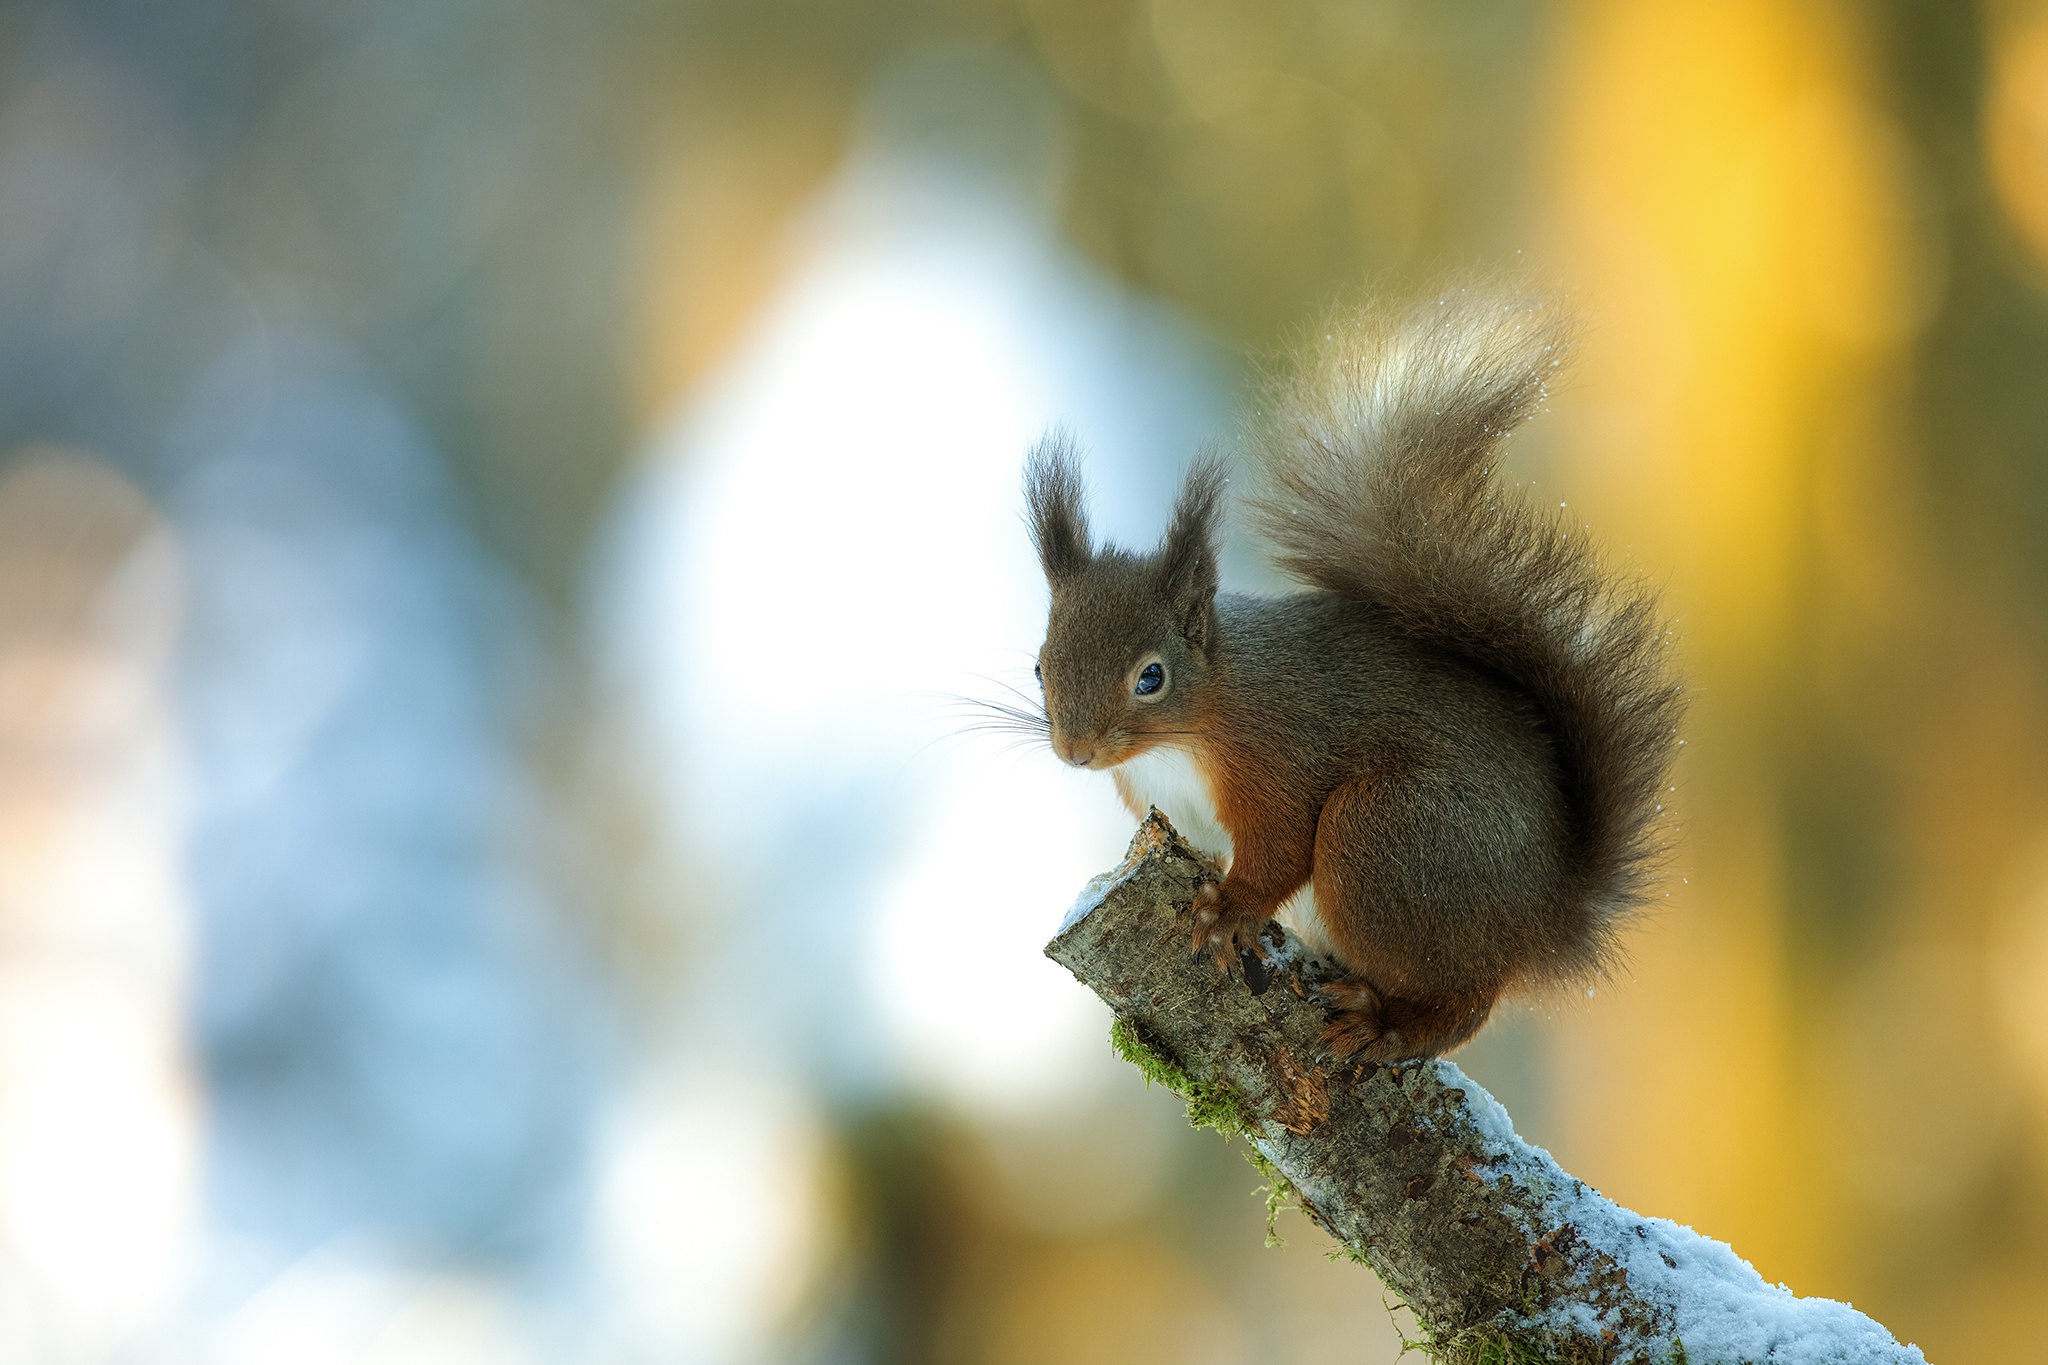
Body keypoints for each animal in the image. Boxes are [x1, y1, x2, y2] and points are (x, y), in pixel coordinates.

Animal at [1024, 290, 1679, 1064]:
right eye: (1039, 665)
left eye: (1150, 677)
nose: (1076, 752)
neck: (1185, 734)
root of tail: (1548, 914)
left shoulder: (1279, 754)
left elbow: (1279, 848)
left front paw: (1231, 910)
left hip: (1387, 839)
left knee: (1464, 1001)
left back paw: (1386, 1023)